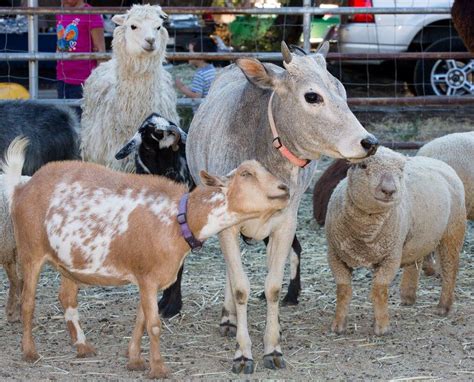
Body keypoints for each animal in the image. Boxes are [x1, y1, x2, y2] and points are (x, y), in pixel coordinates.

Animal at [4, 137, 288, 380]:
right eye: (246, 174)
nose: (284, 188)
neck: (179, 218)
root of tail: (22, 186)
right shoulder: (148, 278)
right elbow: (153, 325)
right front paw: (158, 369)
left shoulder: (147, 278)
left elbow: (141, 321)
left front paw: (135, 361)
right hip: (30, 251)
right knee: (28, 302)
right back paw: (29, 352)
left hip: (69, 262)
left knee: (67, 298)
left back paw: (83, 346)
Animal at [185, 41, 378, 374]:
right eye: (312, 96)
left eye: (342, 90)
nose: (369, 142)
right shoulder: (228, 227)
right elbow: (240, 287)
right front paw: (243, 352)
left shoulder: (285, 225)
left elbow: (273, 287)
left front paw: (272, 347)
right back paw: (229, 319)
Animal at [326, 148, 466, 336]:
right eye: (363, 165)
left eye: (400, 169)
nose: (389, 190)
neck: (365, 234)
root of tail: (439, 162)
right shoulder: (334, 255)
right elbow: (343, 290)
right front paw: (338, 325)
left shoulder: (391, 256)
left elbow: (379, 289)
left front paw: (382, 327)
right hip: (418, 237)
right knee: (415, 262)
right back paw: (408, 297)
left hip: (452, 231)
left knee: (450, 268)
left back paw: (443, 307)